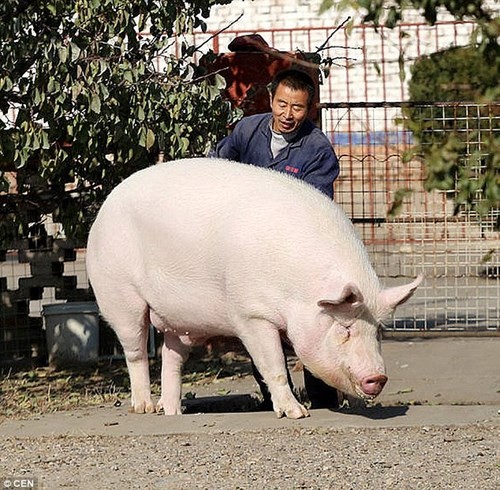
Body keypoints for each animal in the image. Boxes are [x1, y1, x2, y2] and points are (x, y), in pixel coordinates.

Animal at [87, 159, 422, 420]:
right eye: (345, 328)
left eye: (378, 331)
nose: (378, 377)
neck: (297, 288)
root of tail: (106, 205)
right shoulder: (251, 315)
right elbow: (273, 364)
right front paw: (297, 413)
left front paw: (353, 405)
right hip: (119, 296)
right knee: (135, 351)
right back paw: (143, 407)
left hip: (182, 323)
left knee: (172, 356)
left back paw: (172, 412)